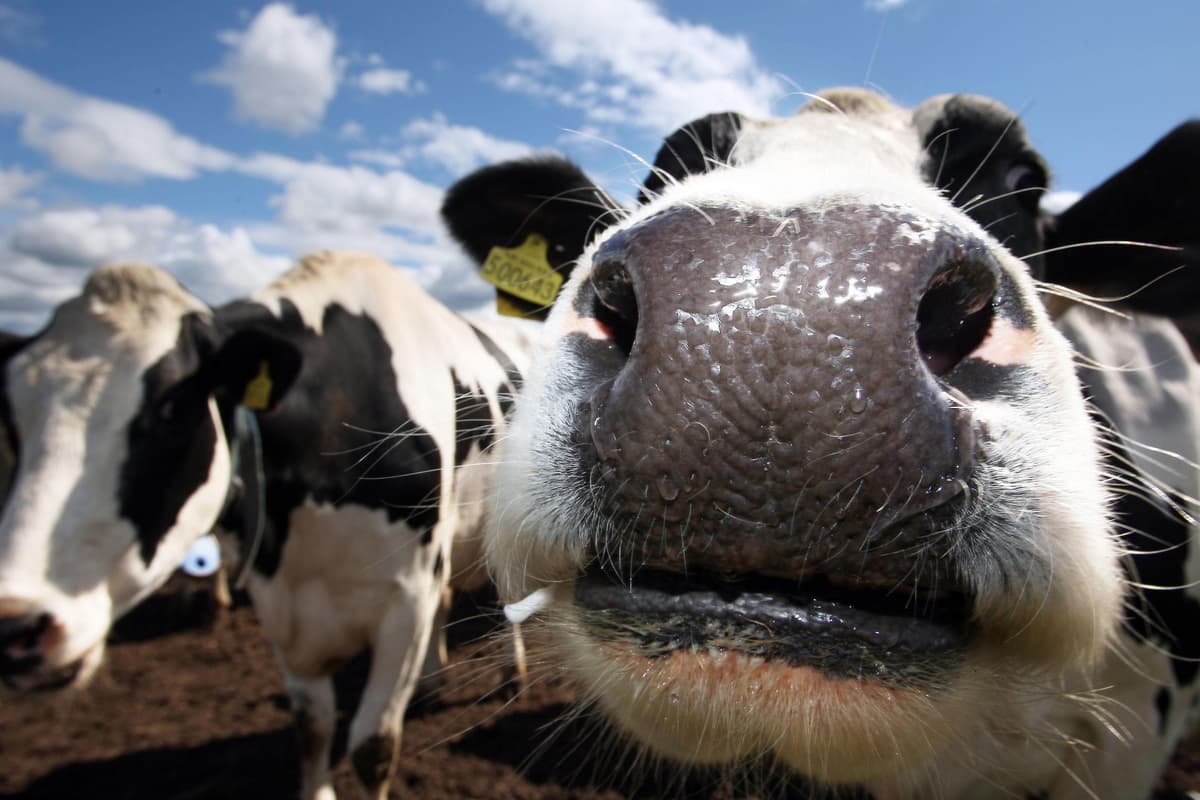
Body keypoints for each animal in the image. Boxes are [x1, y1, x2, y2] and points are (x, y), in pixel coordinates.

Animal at [0, 251, 529, 800]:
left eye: (171, 408)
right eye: (11, 420)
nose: (17, 628)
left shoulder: (406, 597)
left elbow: (372, 746)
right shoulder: (280, 600)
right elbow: (311, 724)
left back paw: (511, 676)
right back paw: (431, 682)